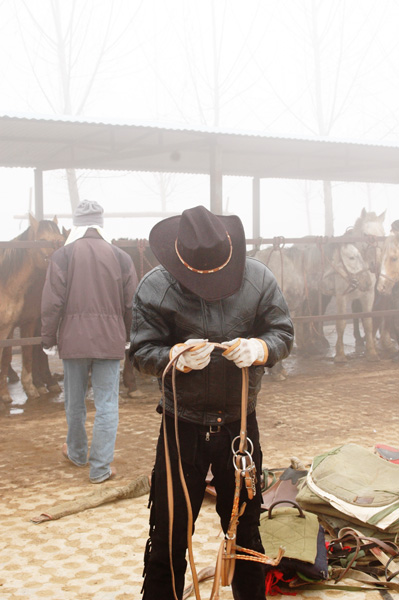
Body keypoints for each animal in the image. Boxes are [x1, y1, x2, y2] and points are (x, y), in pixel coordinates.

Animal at [0, 216, 64, 404]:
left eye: (61, 239)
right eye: (42, 240)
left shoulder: (28, 322)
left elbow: (29, 351)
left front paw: (32, 387)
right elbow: (7, 356)